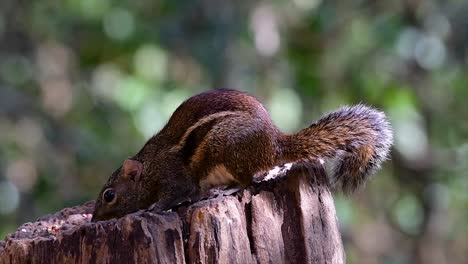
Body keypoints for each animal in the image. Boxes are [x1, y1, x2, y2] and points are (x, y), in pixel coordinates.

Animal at [90, 89, 392, 222]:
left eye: (109, 195)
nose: (94, 220)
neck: (150, 166)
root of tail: (275, 145)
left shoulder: (173, 177)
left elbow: (175, 194)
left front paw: (152, 208)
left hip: (229, 150)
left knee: (249, 181)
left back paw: (226, 189)